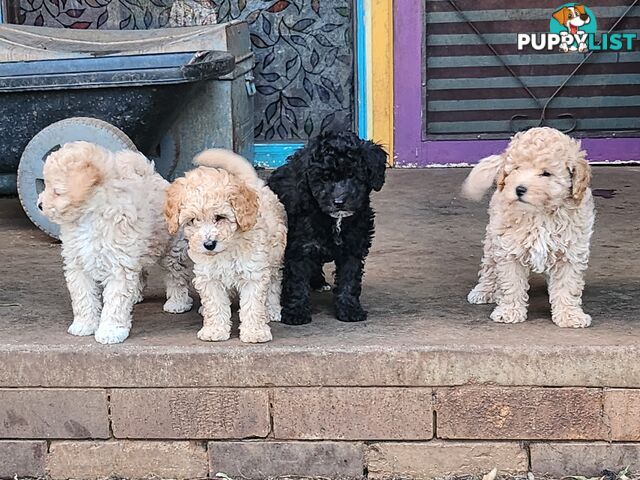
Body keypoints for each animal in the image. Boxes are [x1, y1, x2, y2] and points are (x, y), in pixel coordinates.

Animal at [37, 141, 191, 344]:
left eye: (57, 191)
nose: (39, 205)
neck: (89, 217)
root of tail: (152, 175)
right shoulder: (78, 264)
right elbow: (83, 297)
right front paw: (84, 324)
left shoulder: (119, 266)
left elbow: (115, 302)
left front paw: (110, 331)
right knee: (140, 273)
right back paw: (135, 296)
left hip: (172, 249)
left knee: (176, 275)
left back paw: (177, 302)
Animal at [165, 148, 288, 344]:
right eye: (192, 221)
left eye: (220, 217)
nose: (209, 244)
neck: (228, 248)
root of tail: (253, 182)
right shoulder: (209, 276)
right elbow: (215, 304)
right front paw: (215, 330)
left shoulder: (254, 272)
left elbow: (253, 305)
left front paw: (255, 332)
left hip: (275, 255)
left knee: (274, 283)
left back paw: (273, 309)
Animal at [268, 131, 388, 324]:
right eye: (324, 178)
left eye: (353, 175)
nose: (339, 202)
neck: (335, 220)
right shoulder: (300, 247)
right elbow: (297, 281)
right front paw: (296, 312)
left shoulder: (353, 247)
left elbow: (349, 279)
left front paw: (349, 309)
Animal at [460, 127, 596, 328]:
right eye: (516, 168)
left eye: (546, 173)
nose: (519, 189)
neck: (540, 214)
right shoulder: (508, 249)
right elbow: (511, 283)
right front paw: (509, 311)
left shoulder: (571, 252)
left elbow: (567, 285)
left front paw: (569, 315)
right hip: (493, 239)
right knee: (489, 266)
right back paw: (484, 290)